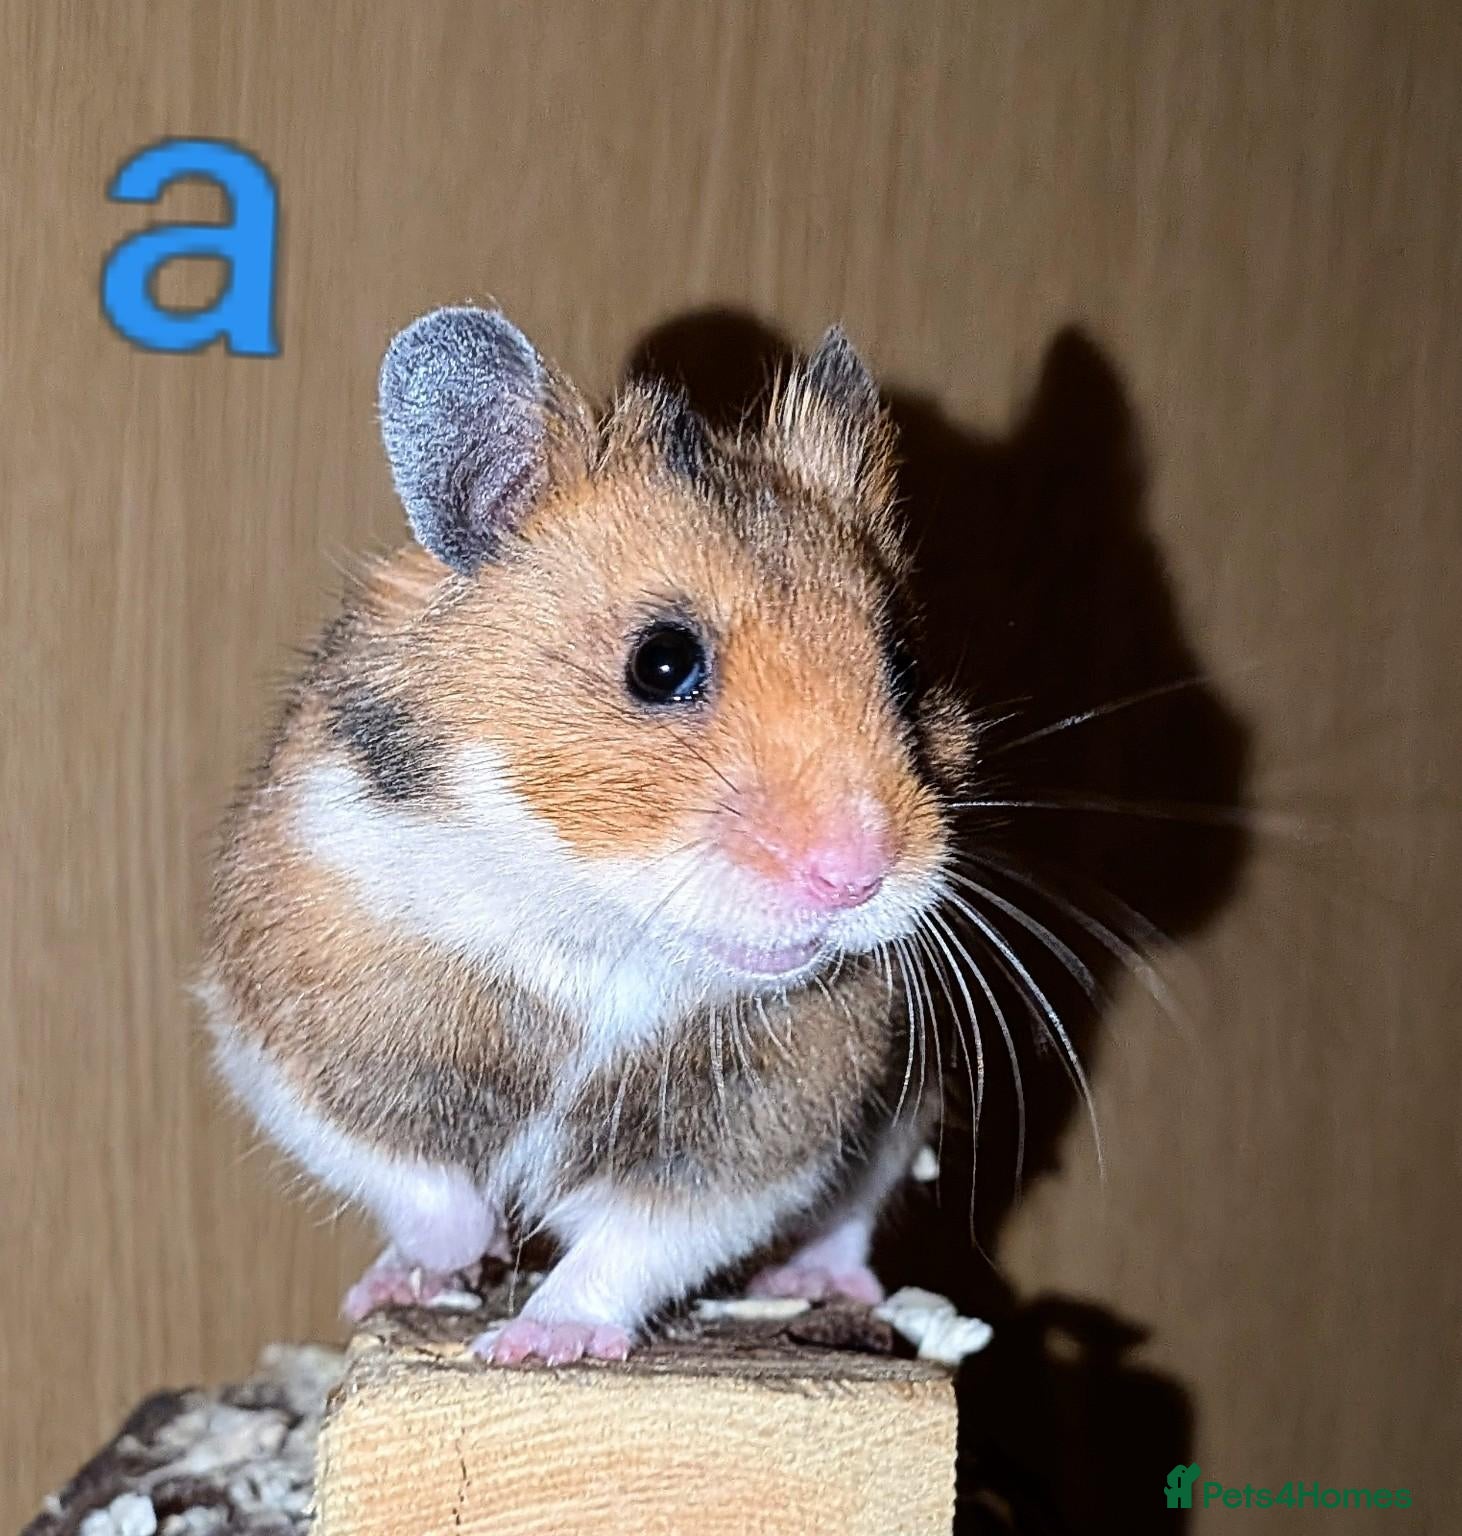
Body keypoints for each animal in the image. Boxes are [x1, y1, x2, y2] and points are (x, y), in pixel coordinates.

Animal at [201, 304, 973, 1364]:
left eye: (901, 665)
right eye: (661, 662)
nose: (856, 877)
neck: (600, 919)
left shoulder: (766, 1115)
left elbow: (638, 1241)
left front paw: (532, 1343)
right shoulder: (289, 1021)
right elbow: (410, 1177)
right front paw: (467, 1257)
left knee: (846, 1223)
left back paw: (811, 1283)